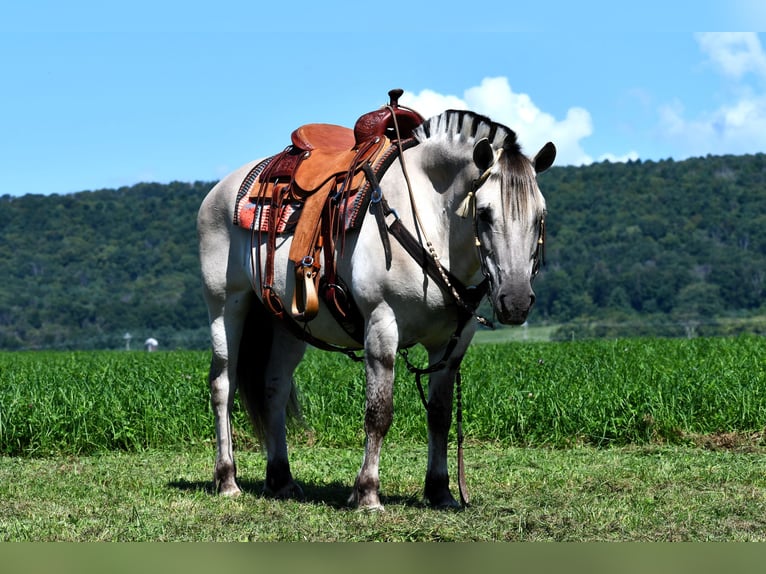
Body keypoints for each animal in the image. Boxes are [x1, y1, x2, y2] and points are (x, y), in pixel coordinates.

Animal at [198, 91, 560, 512]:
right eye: (484, 214)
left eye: (540, 216)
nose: (516, 302)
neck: (428, 215)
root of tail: (224, 188)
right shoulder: (382, 327)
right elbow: (379, 412)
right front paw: (367, 493)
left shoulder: (451, 345)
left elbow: (439, 415)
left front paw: (440, 490)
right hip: (227, 305)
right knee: (223, 385)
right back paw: (227, 479)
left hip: (285, 323)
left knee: (274, 389)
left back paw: (282, 479)